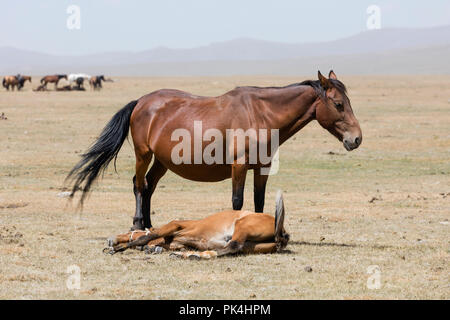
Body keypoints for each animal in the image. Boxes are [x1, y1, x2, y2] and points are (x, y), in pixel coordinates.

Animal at [67, 70, 362, 230]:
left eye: (348, 101)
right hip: (144, 154)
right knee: (139, 185)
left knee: (149, 186)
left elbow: (258, 202)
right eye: (338, 104)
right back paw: (138, 223)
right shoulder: (239, 167)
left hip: (162, 161)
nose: (356, 139)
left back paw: (150, 225)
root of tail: (141, 101)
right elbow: (237, 202)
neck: (260, 114)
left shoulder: (262, 168)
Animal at [104, 191, 288, 258]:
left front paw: (117, 248)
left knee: (233, 246)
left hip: (242, 225)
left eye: (132, 231)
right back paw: (188, 255)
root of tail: (282, 233)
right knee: (227, 249)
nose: (111, 239)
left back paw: (193, 256)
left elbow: (147, 238)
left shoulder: (175, 225)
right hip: (252, 246)